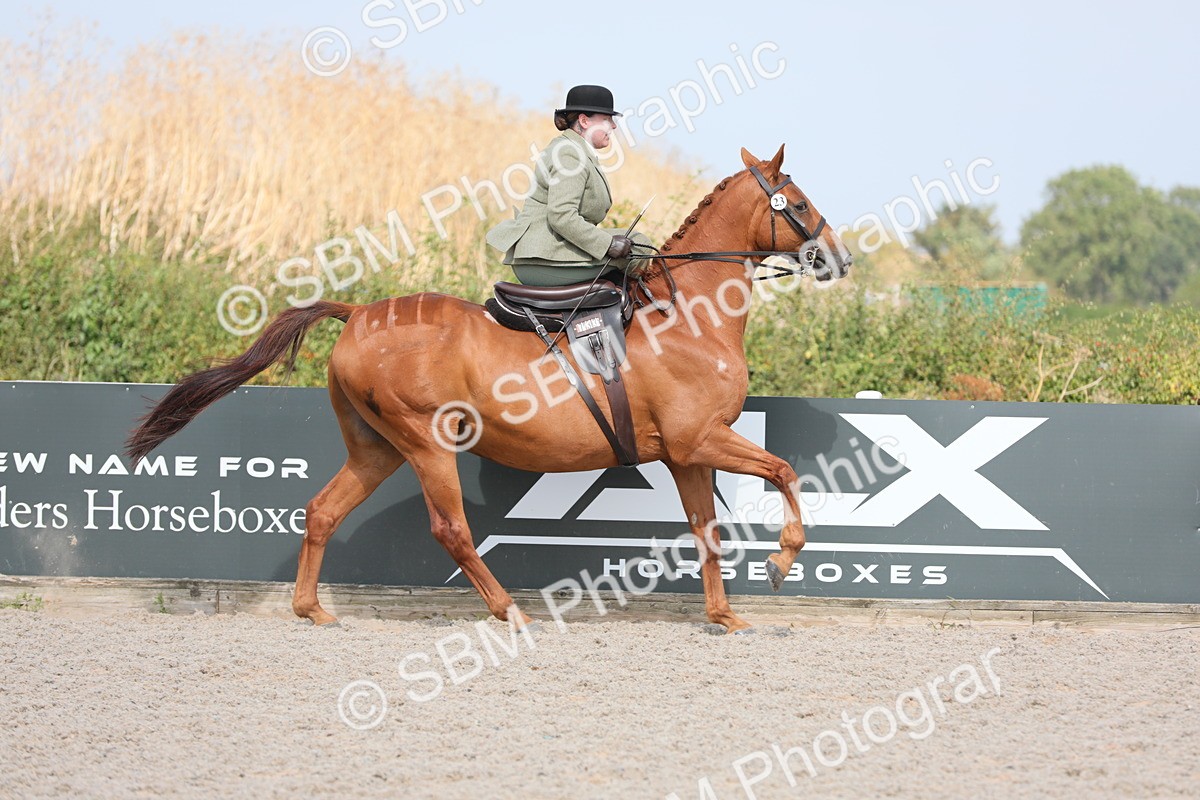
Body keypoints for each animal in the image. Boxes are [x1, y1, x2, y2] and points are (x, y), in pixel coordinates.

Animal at [125, 144, 853, 634]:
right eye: (800, 204)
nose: (839, 259)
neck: (688, 314)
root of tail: (358, 313)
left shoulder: (686, 454)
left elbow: (706, 532)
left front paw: (724, 616)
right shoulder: (701, 439)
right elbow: (784, 473)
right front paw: (782, 563)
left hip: (376, 449)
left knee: (323, 512)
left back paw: (313, 611)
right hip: (426, 442)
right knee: (451, 529)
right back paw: (508, 611)